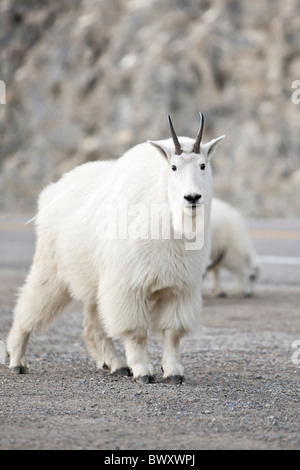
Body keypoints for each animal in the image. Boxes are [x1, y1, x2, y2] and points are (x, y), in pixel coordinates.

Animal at [6, 114, 225, 386]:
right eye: (173, 167)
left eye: (203, 165)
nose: (192, 197)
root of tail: (50, 193)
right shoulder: (128, 285)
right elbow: (137, 332)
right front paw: (143, 371)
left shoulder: (180, 287)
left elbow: (172, 332)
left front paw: (174, 372)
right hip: (51, 268)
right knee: (28, 307)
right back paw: (17, 360)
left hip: (93, 281)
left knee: (92, 325)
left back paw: (116, 365)